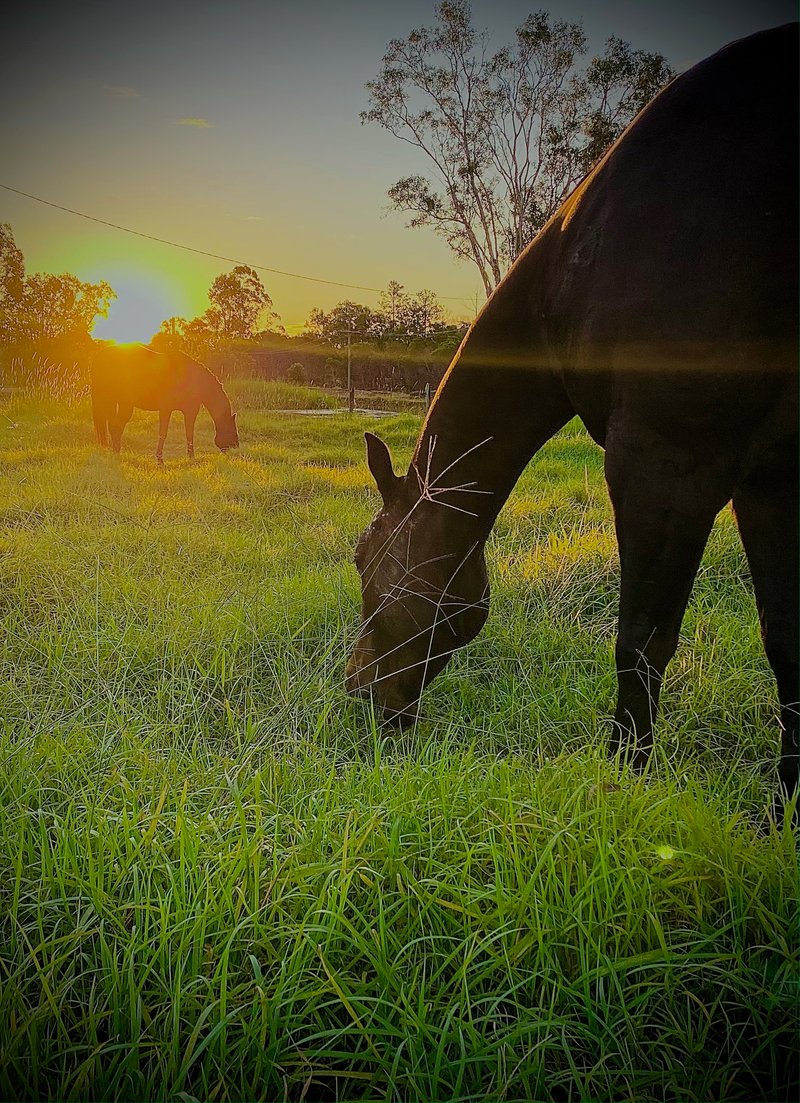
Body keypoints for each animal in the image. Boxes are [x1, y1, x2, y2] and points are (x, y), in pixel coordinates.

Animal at [91, 344, 238, 465]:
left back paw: (116, 452)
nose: (236, 447)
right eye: (232, 430)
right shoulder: (171, 410)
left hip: (120, 403)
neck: (192, 378)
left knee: (115, 426)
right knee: (115, 426)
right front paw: (161, 459)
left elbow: (188, 433)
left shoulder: (186, 411)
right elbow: (167, 432)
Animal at [344, 23, 798, 802]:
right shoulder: (769, 480)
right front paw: (786, 803)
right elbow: (786, 640)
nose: (358, 692)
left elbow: (642, 640)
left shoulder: (666, 463)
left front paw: (623, 783)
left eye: (360, 557)